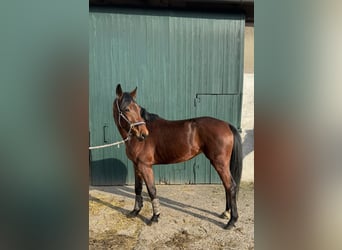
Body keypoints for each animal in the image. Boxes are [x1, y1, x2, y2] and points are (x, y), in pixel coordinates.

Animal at [113, 85, 242, 229]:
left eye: (138, 109)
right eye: (126, 109)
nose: (144, 133)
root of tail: (227, 125)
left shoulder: (145, 166)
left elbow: (152, 190)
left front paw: (155, 217)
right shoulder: (136, 165)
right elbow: (138, 188)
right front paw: (135, 211)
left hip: (220, 163)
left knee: (231, 186)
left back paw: (231, 221)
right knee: (227, 186)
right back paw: (226, 213)